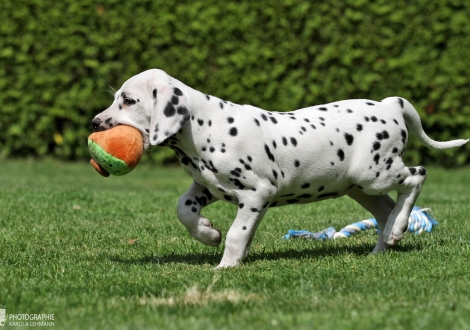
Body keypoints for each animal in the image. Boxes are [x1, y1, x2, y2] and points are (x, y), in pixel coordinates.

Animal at [91, 69, 466, 268]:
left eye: (128, 101)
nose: (95, 123)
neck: (203, 126)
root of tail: (390, 104)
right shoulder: (207, 187)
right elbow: (184, 208)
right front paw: (208, 233)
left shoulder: (257, 193)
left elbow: (237, 234)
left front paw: (226, 266)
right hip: (359, 187)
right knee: (387, 209)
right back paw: (383, 244)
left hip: (375, 174)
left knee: (416, 176)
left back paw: (399, 228)